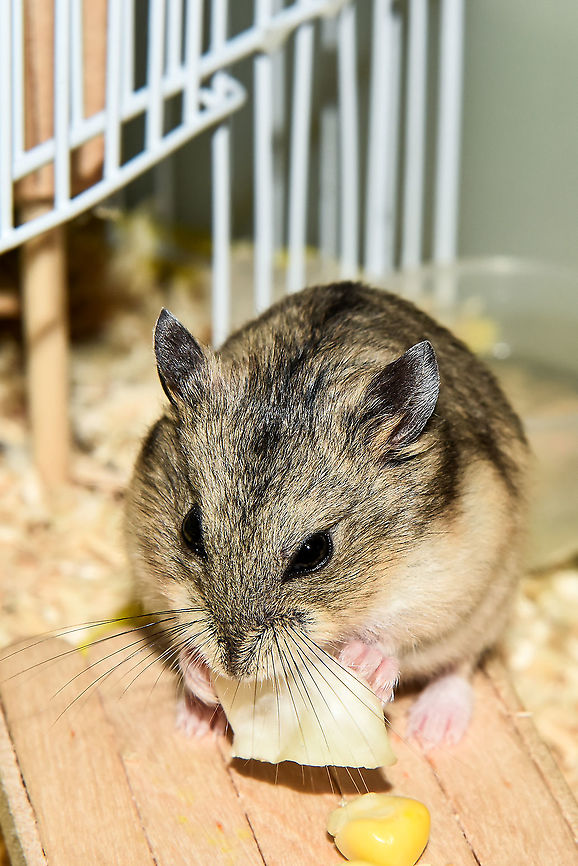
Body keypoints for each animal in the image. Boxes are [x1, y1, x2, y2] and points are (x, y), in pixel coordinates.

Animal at [125, 282, 528, 748]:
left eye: (314, 552)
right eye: (190, 529)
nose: (232, 666)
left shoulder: (445, 586)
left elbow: (395, 637)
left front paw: (365, 663)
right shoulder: (148, 574)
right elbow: (179, 631)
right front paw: (201, 679)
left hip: (490, 607)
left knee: (460, 666)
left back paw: (432, 731)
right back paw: (195, 721)